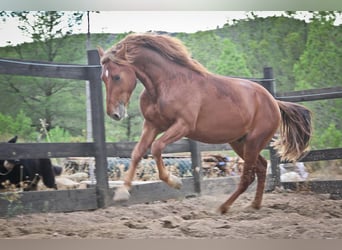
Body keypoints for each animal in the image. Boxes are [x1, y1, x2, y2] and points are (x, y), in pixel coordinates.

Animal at [97, 32, 312, 213]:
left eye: (117, 76)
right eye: (103, 78)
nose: (114, 113)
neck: (166, 84)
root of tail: (273, 101)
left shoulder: (183, 126)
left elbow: (157, 147)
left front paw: (175, 182)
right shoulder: (152, 125)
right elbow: (137, 153)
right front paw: (122, 192)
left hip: (253, 141)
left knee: (248, 175)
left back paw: (223, 207)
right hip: (239, 142)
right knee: (261, 167)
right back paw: (254, 205)